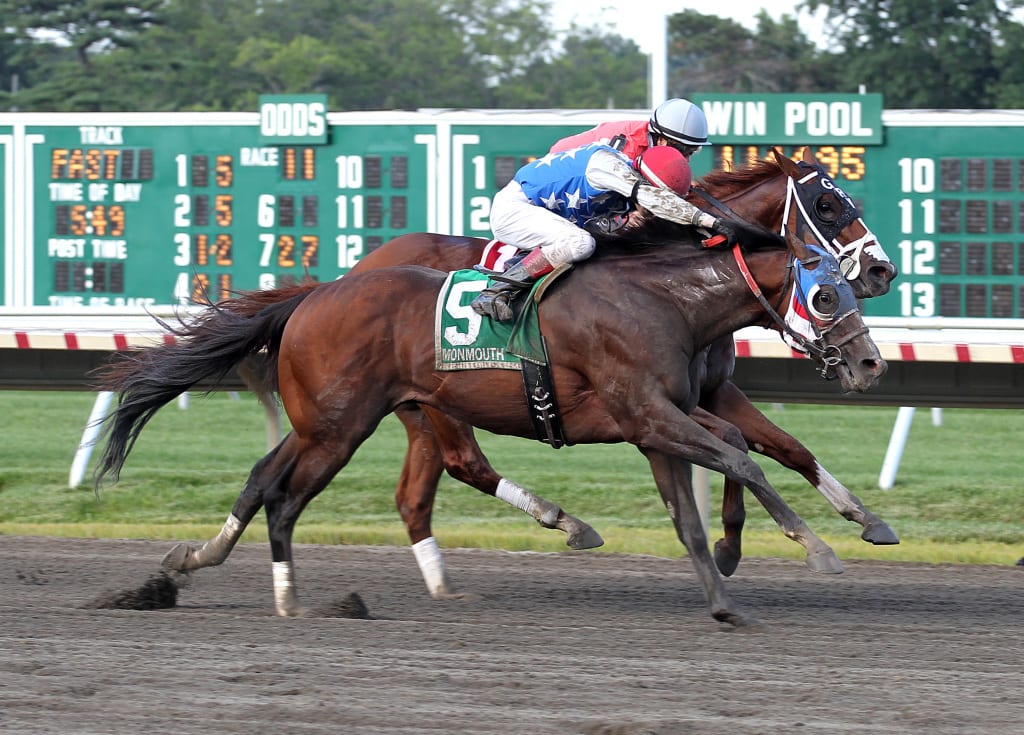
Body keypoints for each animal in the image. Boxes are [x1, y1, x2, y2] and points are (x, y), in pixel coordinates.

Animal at [157, 145, 897, 597]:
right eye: (827, 206)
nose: (883, 270)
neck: (667, 276)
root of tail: (337, 280)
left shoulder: (705, 390)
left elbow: (775, 446)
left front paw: (850, 522)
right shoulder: (665, 398)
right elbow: (750, 449)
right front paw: (766, 541)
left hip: (353, 410)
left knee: (288, 474)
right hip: (406, 411)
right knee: (453, 468)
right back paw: (556, 525)